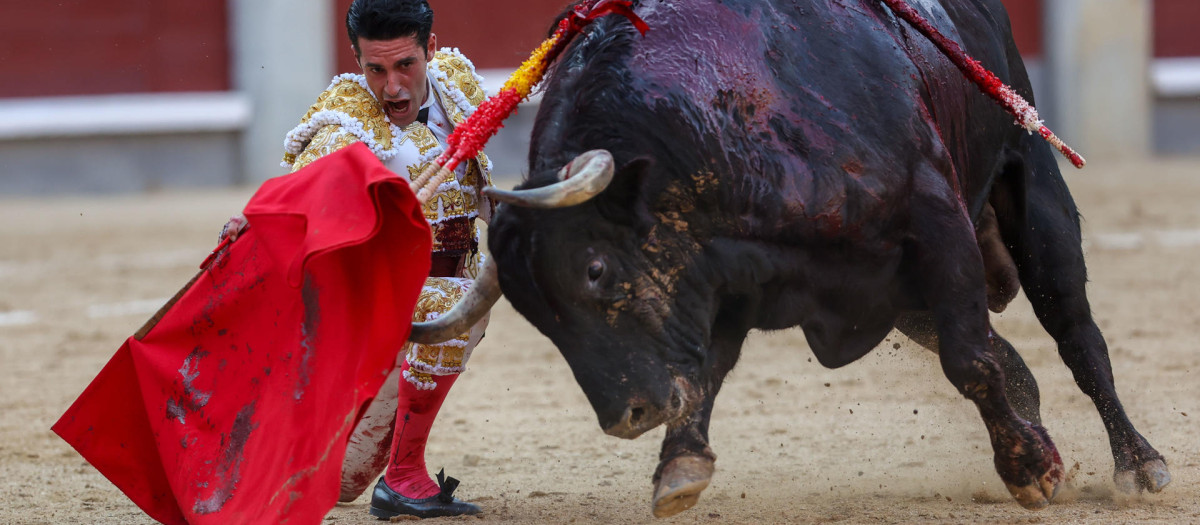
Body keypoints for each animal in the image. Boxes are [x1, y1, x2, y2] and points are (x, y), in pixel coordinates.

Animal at [410, 0, 1161, 517]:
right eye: (538, 318)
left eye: (595, 270)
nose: (629, 415)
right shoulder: (725, 279)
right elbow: (706, 371)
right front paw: (680, 468)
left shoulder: (936, 224)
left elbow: (969, 361)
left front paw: (1031, 468)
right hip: (909, 302)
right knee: (1008, 352)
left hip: (1033, 190)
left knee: (1077, 337)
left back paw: (1139, 464)